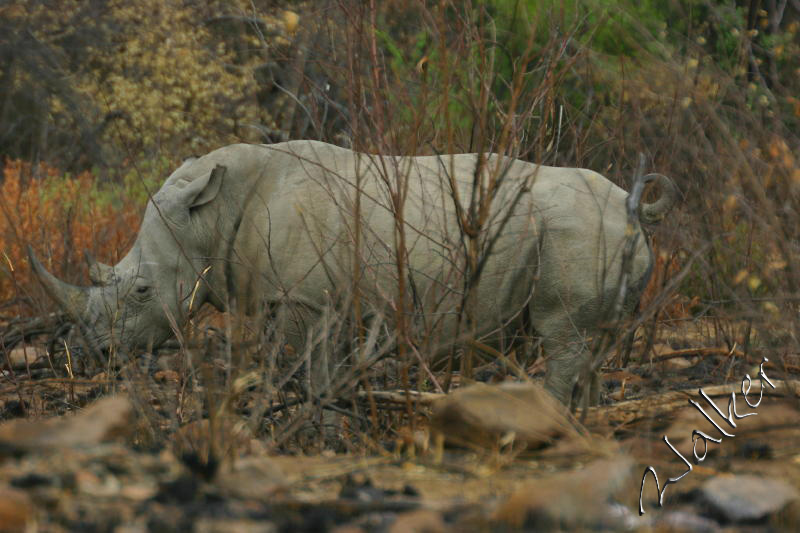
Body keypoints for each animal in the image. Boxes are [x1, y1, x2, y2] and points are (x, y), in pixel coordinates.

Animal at [29, 141, 676, 404]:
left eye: (142, 290)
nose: (94, 354)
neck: (206, 217)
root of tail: (632, 208)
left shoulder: (301, 301)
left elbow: (303, 372)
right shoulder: (326, 303)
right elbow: (326, 370)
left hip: (577, 232)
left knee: (563, 337)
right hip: (597, 236)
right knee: (592, 346)